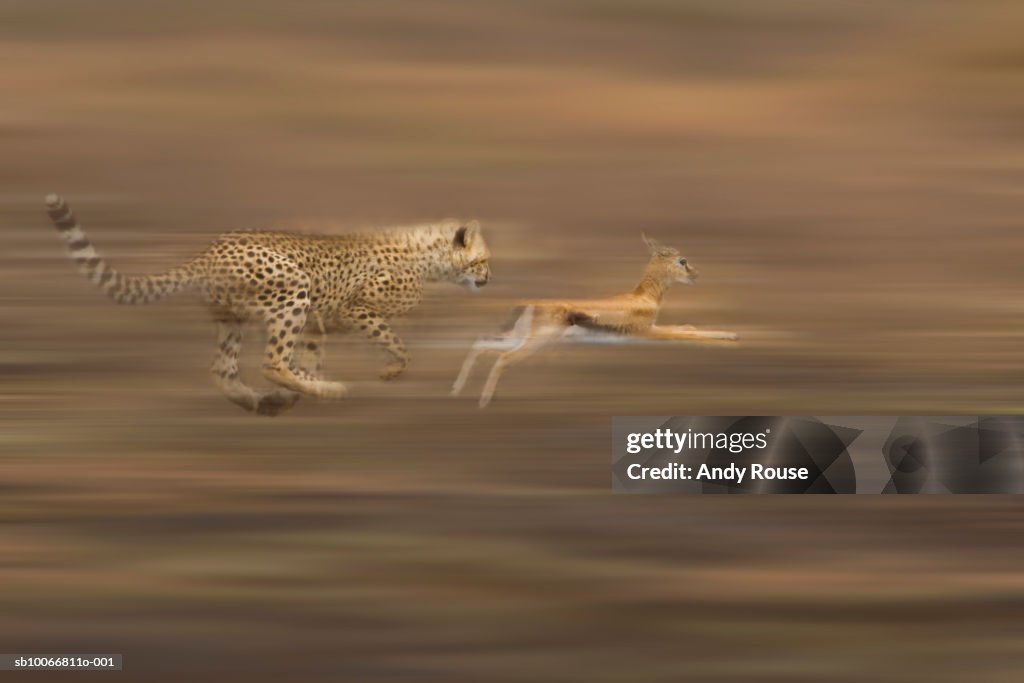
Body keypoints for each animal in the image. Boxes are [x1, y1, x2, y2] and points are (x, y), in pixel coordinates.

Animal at [47, 193, 491, 417]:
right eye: (483, 260)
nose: (488, 279)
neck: (427, 254)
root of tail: (209, 250)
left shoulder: (317, 323)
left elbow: (308, 359)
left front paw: (297, 391)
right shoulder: (353, 309)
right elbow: (396, 342)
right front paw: (389, 370)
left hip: (235, 318)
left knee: (224, 368)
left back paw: (261, 400)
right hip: (293, 290)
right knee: (272, 362)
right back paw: (319, 390)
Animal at [454, 235, 737, 405]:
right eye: (682, 260)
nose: (696, 274)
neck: (643, 297)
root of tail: (528, 304)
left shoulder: (652, 328)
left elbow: (687, 327)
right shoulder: (645, 332)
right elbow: (689, 334)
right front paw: (730, 338)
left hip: (519, 338)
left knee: (481, 344)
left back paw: (457, 391)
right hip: (536, 342)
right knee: (502, 358)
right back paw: (484, 401)